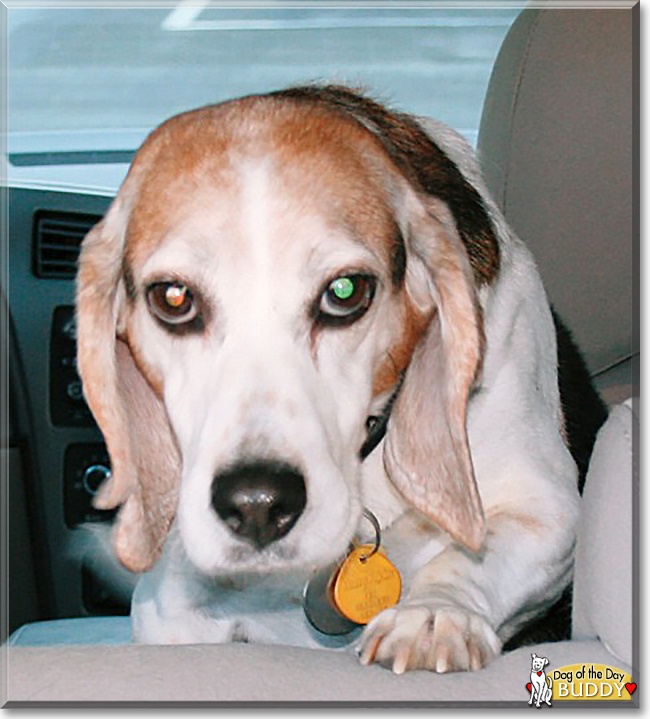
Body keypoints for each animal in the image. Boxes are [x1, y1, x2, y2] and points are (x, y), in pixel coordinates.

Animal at [76, 86, 576, 676]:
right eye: (173, 298)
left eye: (344, 292)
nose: (257, 504)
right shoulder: (169, 604)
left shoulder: (551, 512)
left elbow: (471, 556)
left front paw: (433, 615)